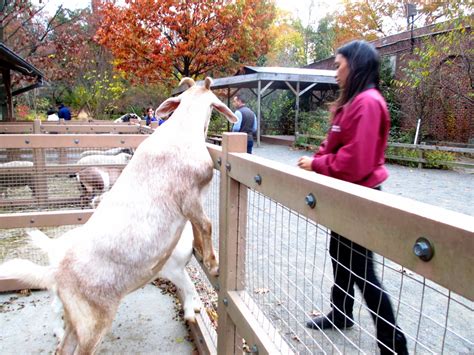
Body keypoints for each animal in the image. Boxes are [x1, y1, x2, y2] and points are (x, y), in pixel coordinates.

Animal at [0, 76, 237, 354]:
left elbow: (198, 229)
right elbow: (206, 224)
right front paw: (213, 264)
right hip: (94, 320)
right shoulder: (188, 196)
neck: (180, 131)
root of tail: (57, 274)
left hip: (76, 318)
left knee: (63, 348)